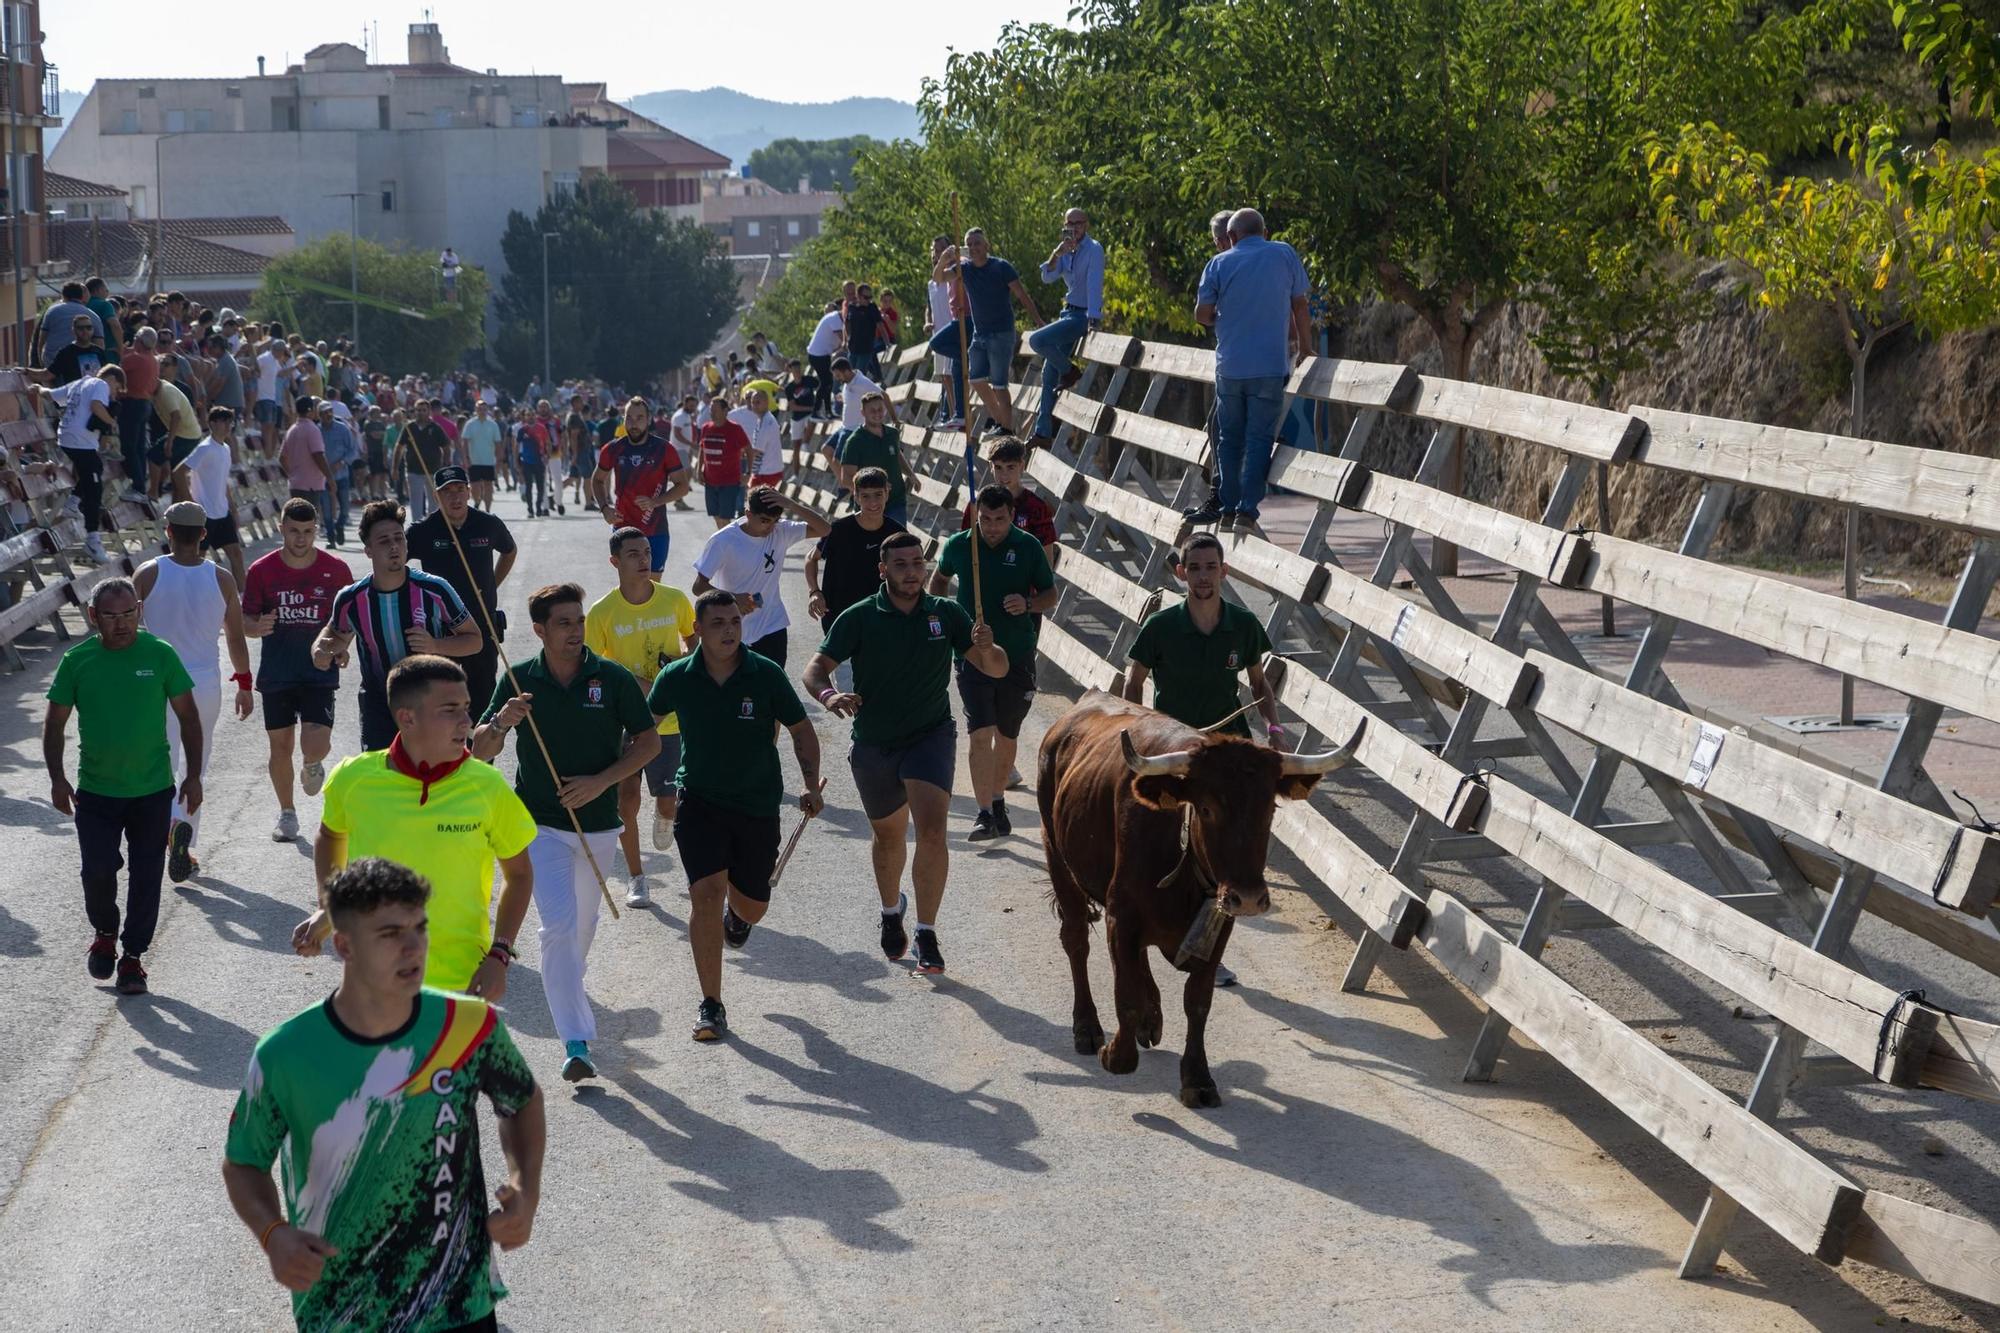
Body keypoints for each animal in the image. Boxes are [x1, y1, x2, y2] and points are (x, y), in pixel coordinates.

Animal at [1032, 684, 1360, 1096]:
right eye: (1205, 809)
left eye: (1270, 809)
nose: (1248, 898)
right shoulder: (1121, 915)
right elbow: (1126, 991)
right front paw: (1118, 1055)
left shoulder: (1219, 925)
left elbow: (1197, 1000)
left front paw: (1198, 1078)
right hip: (1057, 853)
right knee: (1076, 940)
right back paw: (1087, 1027)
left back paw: (1151, 1020)